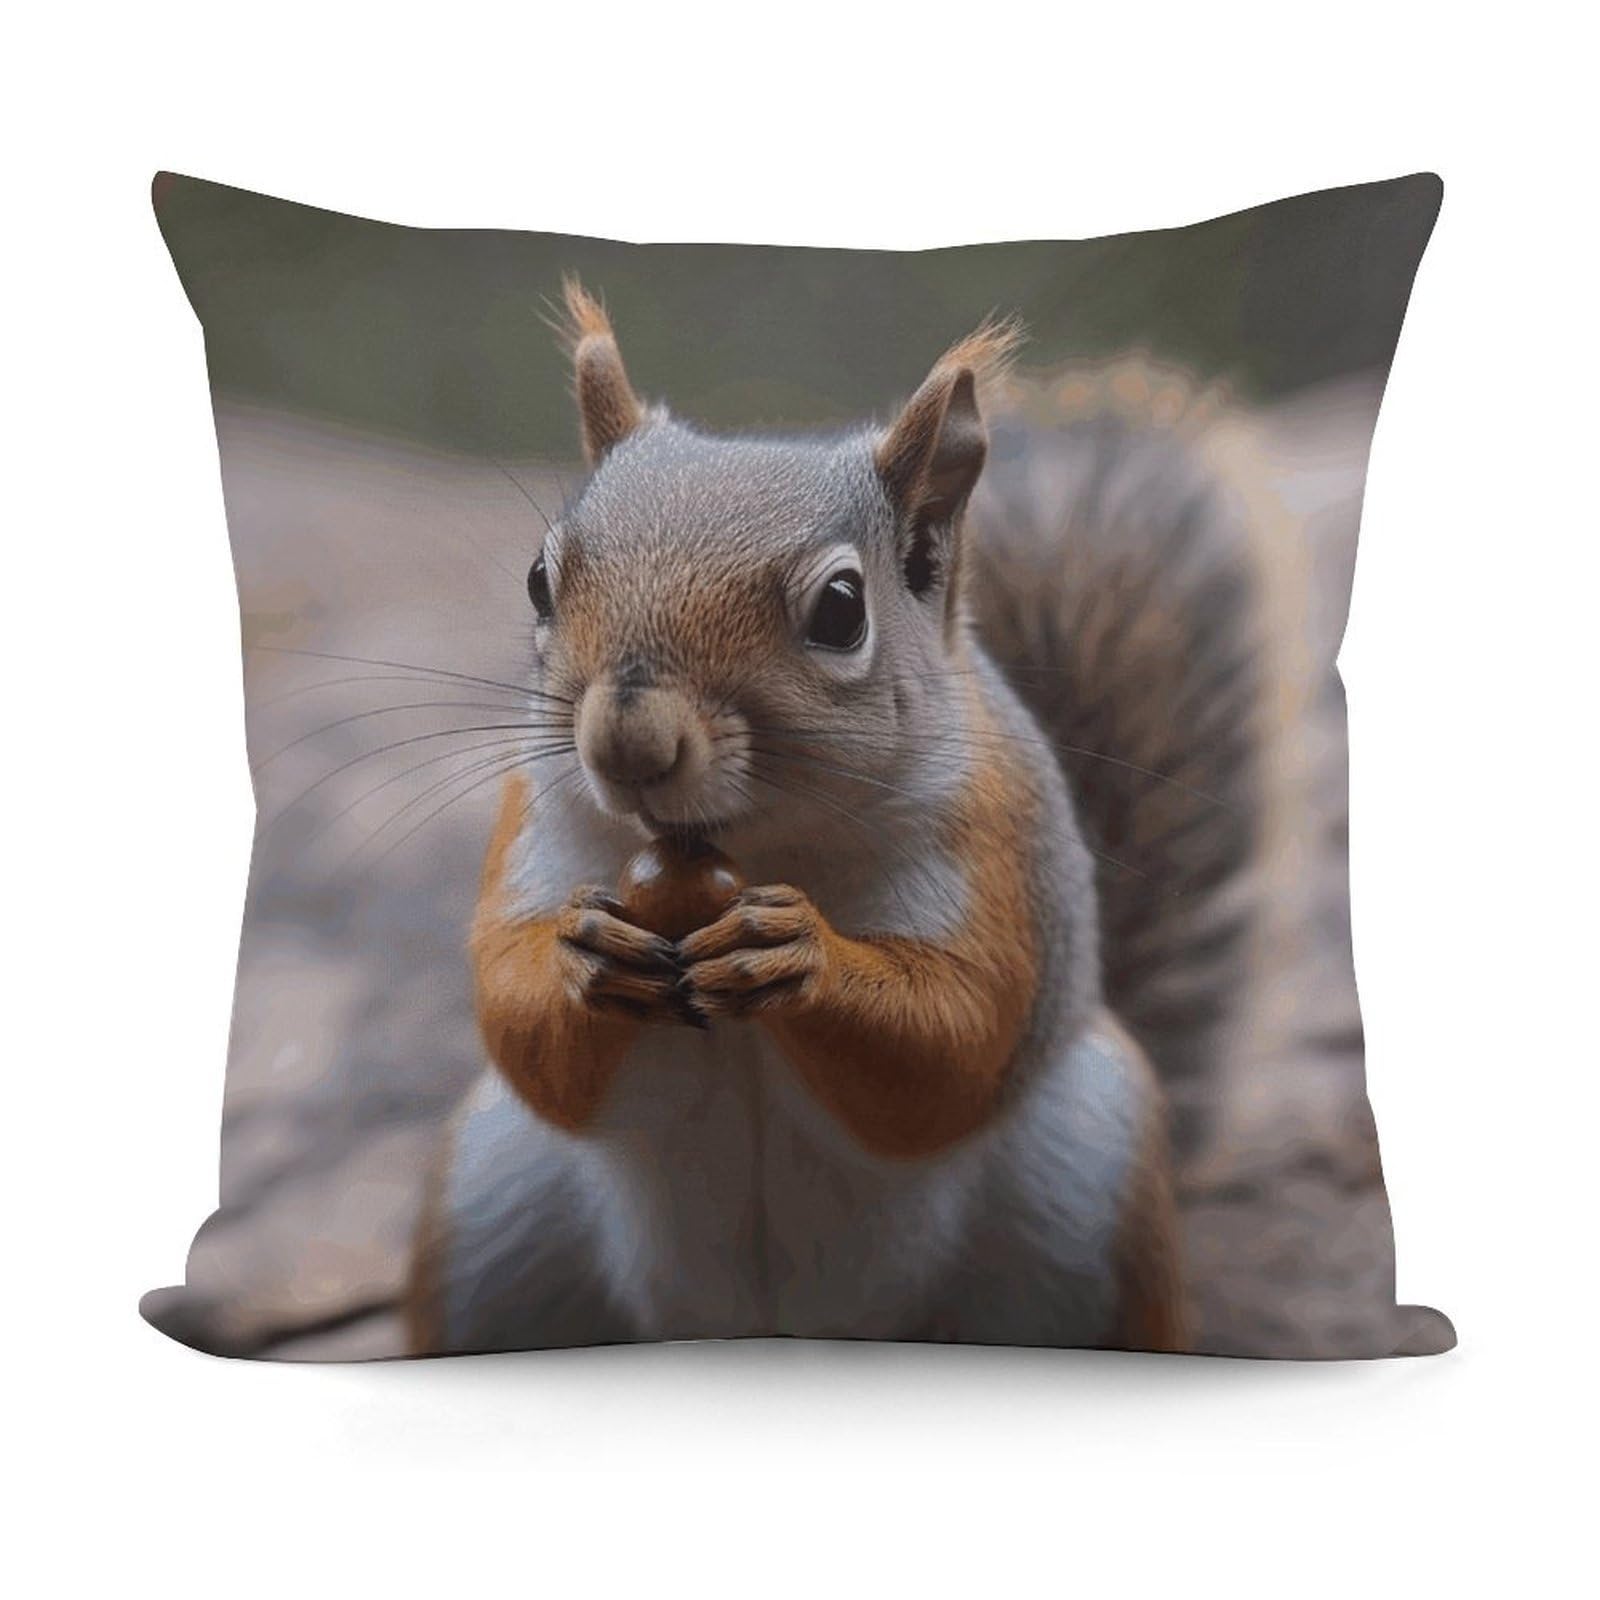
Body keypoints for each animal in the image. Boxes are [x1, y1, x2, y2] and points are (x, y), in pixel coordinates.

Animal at [403, 280, 1271, 1355]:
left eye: (841, 611)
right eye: (537, 580)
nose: (629, 744)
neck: (749, 846)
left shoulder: (993, 848)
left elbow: (956, 1038)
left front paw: (799, 954)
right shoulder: (534, 825)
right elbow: (512, 1010)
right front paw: (582, 956)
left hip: (1090, 1197)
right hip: (491, 1216)